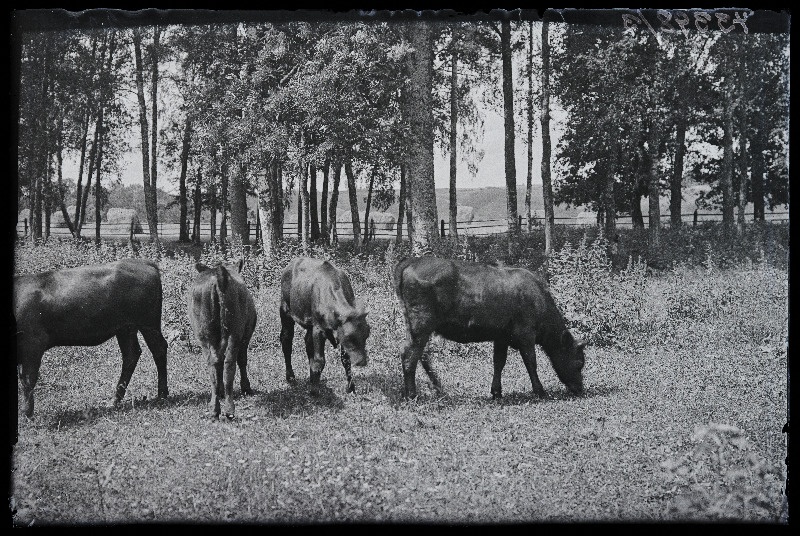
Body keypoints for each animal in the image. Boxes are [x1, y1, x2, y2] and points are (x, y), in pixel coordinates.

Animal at [14, 258, 169, 418]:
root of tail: (144, 263)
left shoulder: (33, 344)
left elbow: (27, 379)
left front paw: (26, 413)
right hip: (125, 328)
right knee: (131, 355)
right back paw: (114, 400)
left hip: (148, 322)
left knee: (158, 349)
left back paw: (162, 395)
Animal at [188, 258, 256, 418]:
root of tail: (218, 274)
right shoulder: (246, 335)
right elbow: (242, 360)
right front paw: (246, 387)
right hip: (234, 332)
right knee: (229, 363)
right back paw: (229, 409)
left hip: (204, 334)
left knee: (213, 362)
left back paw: (214, 408)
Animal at [280, 255, 370, 394]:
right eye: (349, 336)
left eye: (367, 334)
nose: (362, 361)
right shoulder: (319, 329)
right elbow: (319, 360)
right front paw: (314, 391)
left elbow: (345, 359)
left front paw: (351, 387)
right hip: (285, 311)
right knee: (286, 339)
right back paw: (290, 377)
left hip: (309, 323)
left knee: (307, 342)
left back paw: (311, 378)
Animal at [394, 258, 588, 400]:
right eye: (580, 363)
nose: (580, 389)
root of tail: (411, 262)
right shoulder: (526, 335)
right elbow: (531, 362)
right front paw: (540, 391)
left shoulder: (501, 337)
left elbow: (498, 362)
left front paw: (496, 392)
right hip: (421, 325)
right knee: (410, 354)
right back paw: (412, 395)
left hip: (416, 327)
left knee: (422, 355)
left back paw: (439, 388)